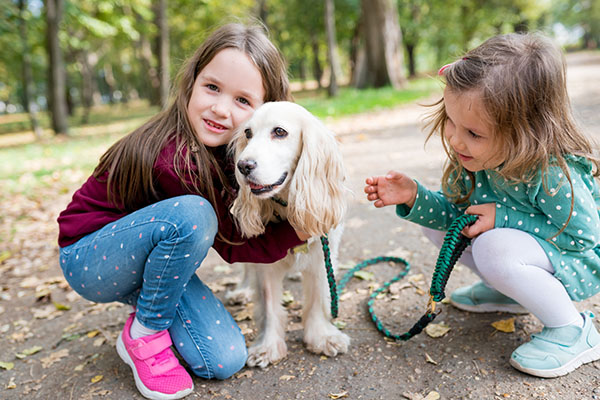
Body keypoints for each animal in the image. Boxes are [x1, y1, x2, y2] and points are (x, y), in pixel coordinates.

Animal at [230, 101, 352, 368]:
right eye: (248, 133)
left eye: (279, 132)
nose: (243, 166)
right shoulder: (264, 261)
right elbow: (269, 304)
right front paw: (268, 346)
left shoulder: (322, 254)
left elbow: (318, 297)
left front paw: (321, 337)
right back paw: (242, 290)